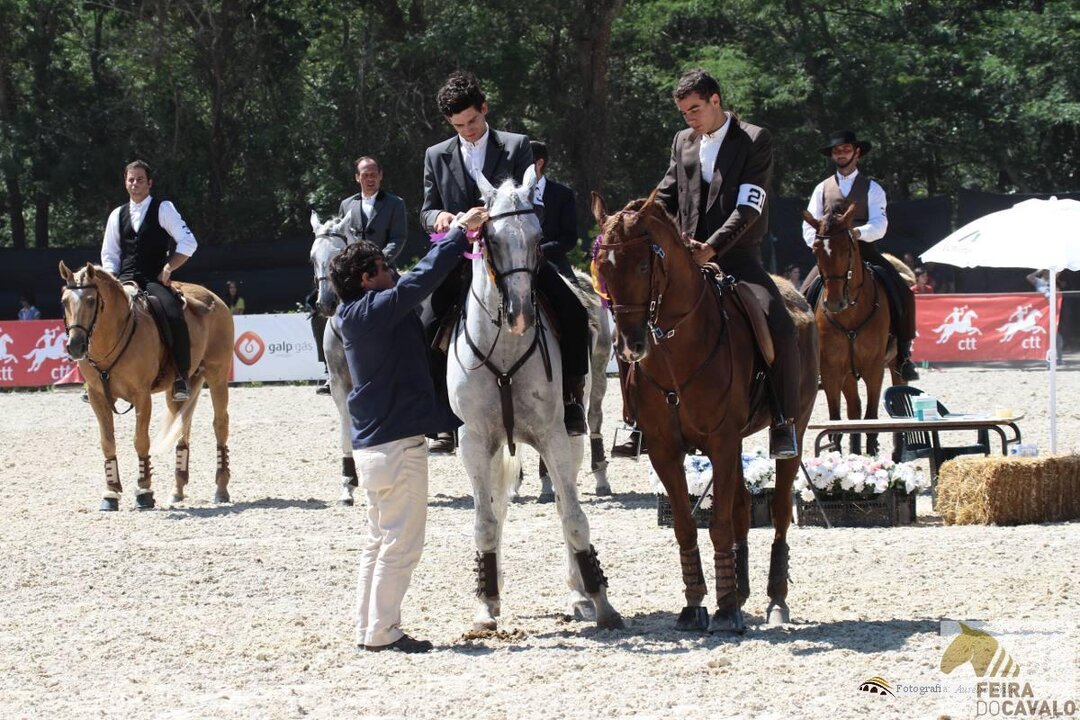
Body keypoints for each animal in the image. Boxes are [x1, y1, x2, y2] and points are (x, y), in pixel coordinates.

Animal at [58, 262, 234, 510]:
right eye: (64, 301)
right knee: (183, 427)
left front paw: (144, 491)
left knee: (220, 425)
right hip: (178, 389)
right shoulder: (97, 397)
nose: (75, 346)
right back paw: (177, 490)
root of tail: (213, 297)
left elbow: (140, 441)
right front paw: (111, 493)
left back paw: (221, 488)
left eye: (91, 300)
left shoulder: (142, 396)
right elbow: (107, 442)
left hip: (217, 374)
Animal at [448, 166, 623, 632]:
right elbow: (485, 522)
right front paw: (486, 605)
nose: (521, 312)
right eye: (489, 238)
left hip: (576, 426)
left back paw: (579, 591)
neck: (505, 352)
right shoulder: (475, 444)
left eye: (537, 236)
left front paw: (600, 600)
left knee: (566, 500)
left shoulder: (554, 437)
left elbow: (574, 518)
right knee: (499, 508)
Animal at [593, 192, 819, 633]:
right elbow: (687, 526)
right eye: (603, 269)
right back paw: (741, 587)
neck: (678, 351)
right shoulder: (666, 450)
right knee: (742, 509)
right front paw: (697, 603)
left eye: (643, 265)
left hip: (793, 428)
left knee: (780, 511)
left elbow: (718, 526)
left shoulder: (721, 441)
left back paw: (775, 600)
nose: (630, 345)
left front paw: (726, 609)